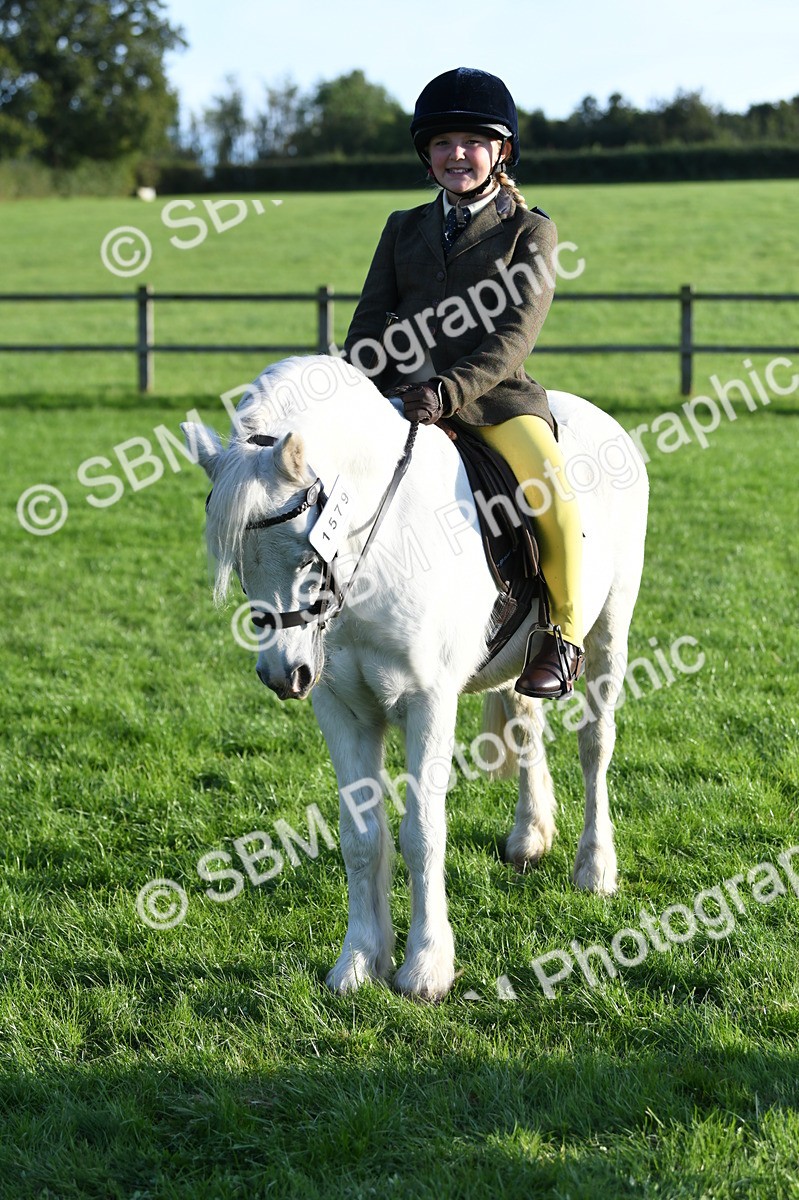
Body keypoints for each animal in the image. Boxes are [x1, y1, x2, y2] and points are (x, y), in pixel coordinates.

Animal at [182, 354, 648, 1001]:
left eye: (306, 555)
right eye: (240, 566)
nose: (283, 675)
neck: (376, 555)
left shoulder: (428, 703)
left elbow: (422, 831)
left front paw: (427, 969)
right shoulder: (342, 708)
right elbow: (362, 836)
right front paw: (359, 963)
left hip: (609, 626)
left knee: (595, 743)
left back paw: (595, 868)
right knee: (528, 722)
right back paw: (530, 837)